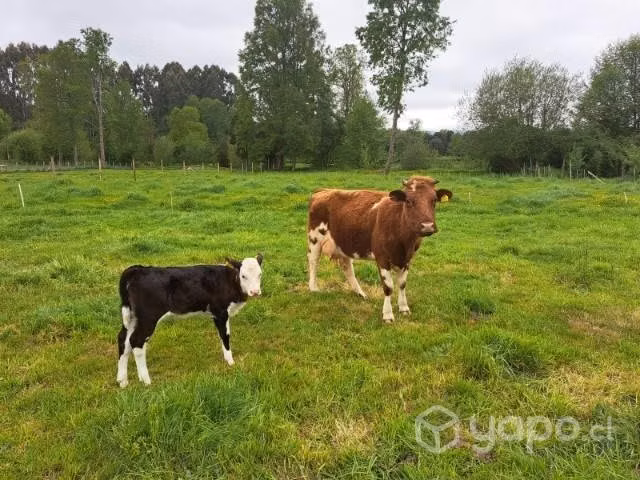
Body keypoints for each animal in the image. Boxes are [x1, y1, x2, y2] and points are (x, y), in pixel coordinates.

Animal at [116, 255, 263, 388]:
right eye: (243, 276)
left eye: (260, 274)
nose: (255, 292)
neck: (229, 281)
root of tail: (138, 269)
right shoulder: (221, 312)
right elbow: (225, 336)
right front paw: (231, 362)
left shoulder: (216, 314)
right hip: (148, 318)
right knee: (136, 342)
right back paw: (146, 380)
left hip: (133, 318)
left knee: (124, 339)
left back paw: (122, 381)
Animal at [307, 176, 452, 322]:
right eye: (409, 201)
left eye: (434, 200)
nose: (427, 226)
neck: (404, 241)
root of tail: (324, 190)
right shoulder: (382, 257)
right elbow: (388, 287)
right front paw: (387, 315)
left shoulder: (407, 258)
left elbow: (402, 284)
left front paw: (404, 308)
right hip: (315, 238)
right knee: (313, 261)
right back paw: (314, 288)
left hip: (343, 242)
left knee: (347, 267)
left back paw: (360, 293)